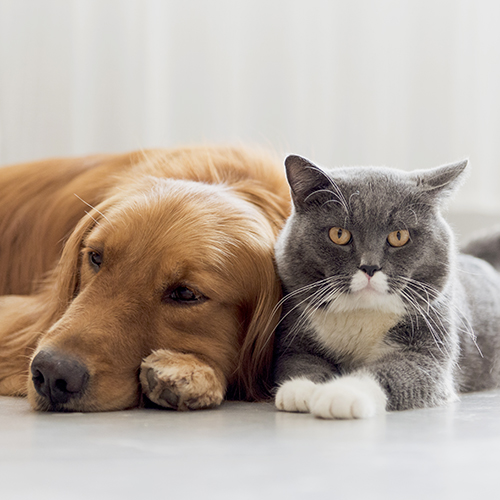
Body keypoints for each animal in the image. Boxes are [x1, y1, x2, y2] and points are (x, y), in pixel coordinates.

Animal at [274, 155, 500, 418]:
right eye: (339, 234)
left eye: (399, 236)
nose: (370, 267)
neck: (361, 314)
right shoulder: (294, 334)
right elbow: (298, 361)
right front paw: (301, 389)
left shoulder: (428, 347)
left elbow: (391, 371)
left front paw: (340, 393)